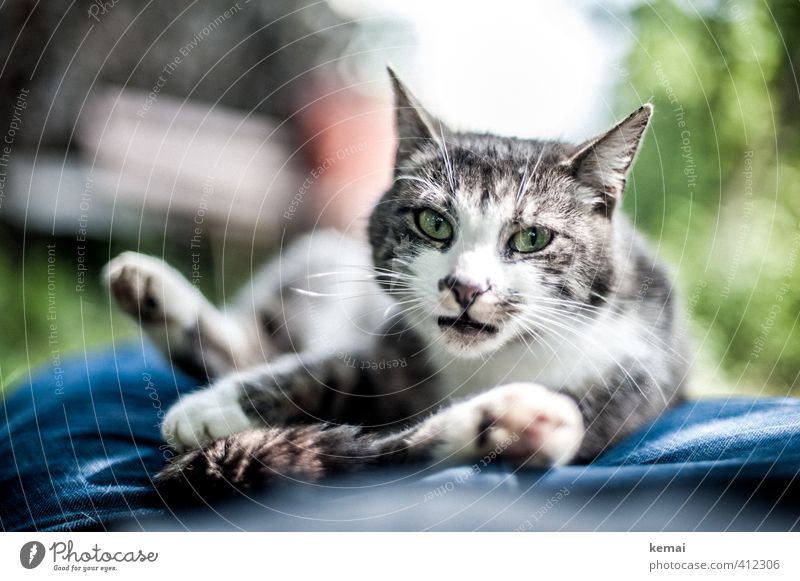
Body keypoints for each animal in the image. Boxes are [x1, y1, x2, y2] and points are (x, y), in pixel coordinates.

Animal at [104, 68, 688, 494]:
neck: (492, 361)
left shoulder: (626, 385)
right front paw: (210, 408)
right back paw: (145, 285)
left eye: (532, 238)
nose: (467, 288)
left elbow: (387, 448)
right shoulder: (392, 349)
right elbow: (327, 373)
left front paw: (504, 422)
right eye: (434, 223)